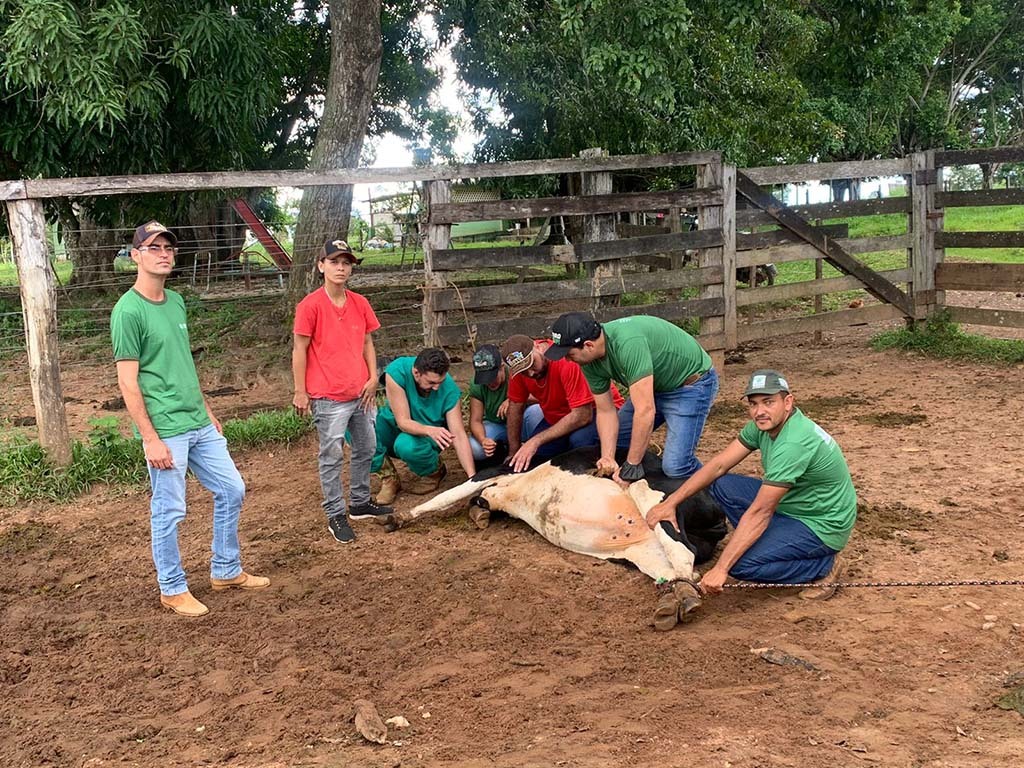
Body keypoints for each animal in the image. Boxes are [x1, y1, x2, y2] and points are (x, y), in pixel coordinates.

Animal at [380, 444, 724, 630]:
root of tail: (718, 517)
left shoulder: (493, 472)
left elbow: (446, 496)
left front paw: (398, 517)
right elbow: (477, 501)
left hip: (652, 497)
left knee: (683, 553)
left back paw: (685, 600)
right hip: (644, 550)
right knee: (676, 570)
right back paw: (675, 602)